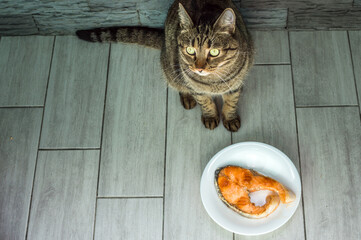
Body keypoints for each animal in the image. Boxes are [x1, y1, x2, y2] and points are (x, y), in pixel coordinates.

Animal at [77, 0, 255, 131]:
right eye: (190, 50)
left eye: (214, 52)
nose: (199, 68)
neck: (213, 83)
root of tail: (163, 40)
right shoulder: (195, 87)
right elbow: (205, 102)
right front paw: (210, 116)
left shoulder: (236, 83)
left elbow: (231, 102)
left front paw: (230, 118)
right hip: (171, 68)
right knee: (179, 84)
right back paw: (187, 97)